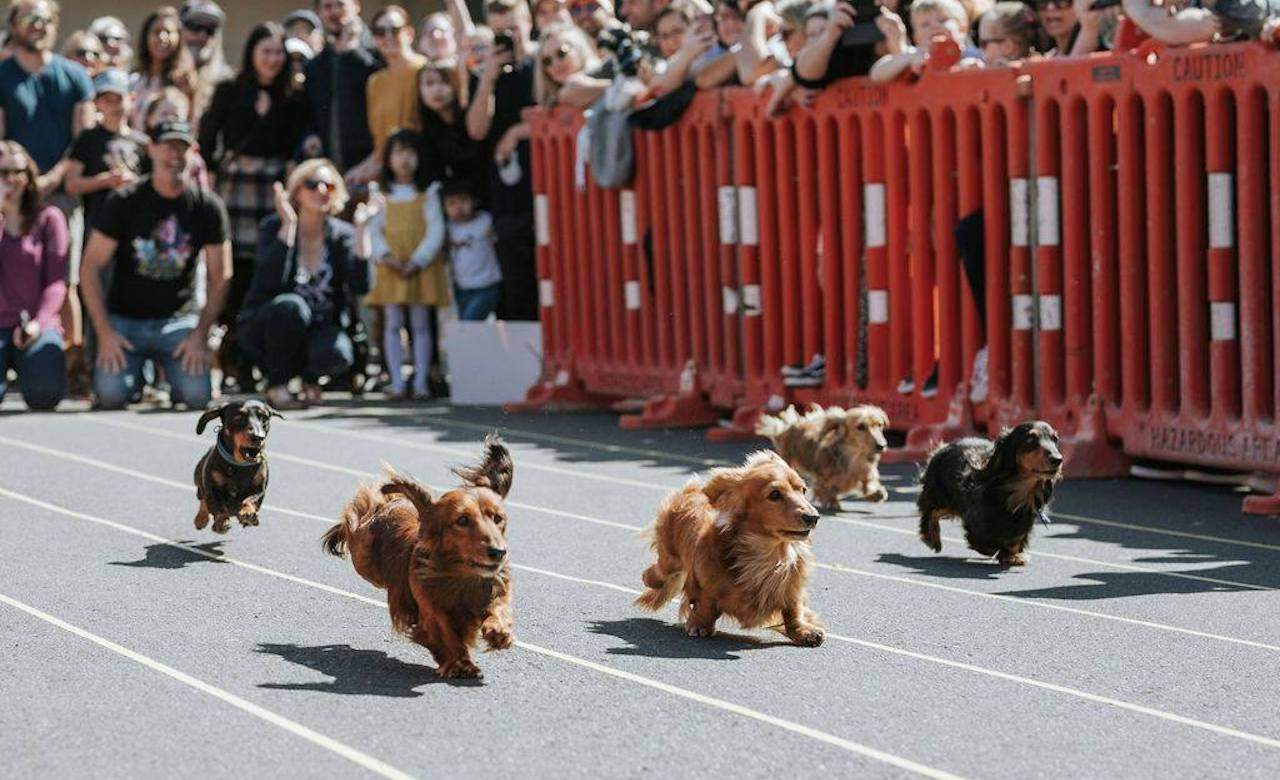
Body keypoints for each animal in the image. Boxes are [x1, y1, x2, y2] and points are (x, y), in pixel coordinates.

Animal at [190, 399, 281, 532]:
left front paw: (247, 513)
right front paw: (221, 520)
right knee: (202, 500)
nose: (258, 437)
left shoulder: (259, 488)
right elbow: (217, 504)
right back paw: (200, 519)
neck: (240, 465)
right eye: (238, 417)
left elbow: (251, 499)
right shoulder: (211, 489)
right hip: (198, 481)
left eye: (264, 418)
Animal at [320, 435, 514, 676]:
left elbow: (498, 607)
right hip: (364, 559)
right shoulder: (431, 609)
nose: (498, 552)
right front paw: (460, 663)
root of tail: (392, 504)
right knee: (360, 510)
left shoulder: (495, 588)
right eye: (462, 520)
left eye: (498, 518)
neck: (461, 575)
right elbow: (446, 632)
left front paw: (498, 632)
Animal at [632, 450, 829, 645]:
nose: (813, 517)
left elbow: (794, 611)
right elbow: (706, 604)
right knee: (660, 572)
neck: (769, 556)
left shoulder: (792, 590)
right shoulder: (708, 585)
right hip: (670, 558)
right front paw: (699, 625)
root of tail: (691, 491)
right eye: (774, 494)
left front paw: (804, 631)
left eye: (803, 490)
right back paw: (649, 577)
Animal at [747, 402, 890, 512]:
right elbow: (825, 490)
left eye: (879, 425)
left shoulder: (866, 472)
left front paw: (877, 494)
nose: (881, 445)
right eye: (861, 426)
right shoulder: (823, 478)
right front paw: (832, 502)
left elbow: (869, 484)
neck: (853, 458)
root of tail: (791, 425)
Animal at [916, 420, 1064, 566]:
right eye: (1030, 439)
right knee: (932, 510)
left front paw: (1013, 556)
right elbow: (984, 541)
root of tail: (944, 447)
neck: (1013, 494)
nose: (1058, 459)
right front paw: (1005, 554)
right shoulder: (975, 522)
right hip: (942, 496)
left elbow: (1014, 540)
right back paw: (932, 537)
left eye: (1055, 439)